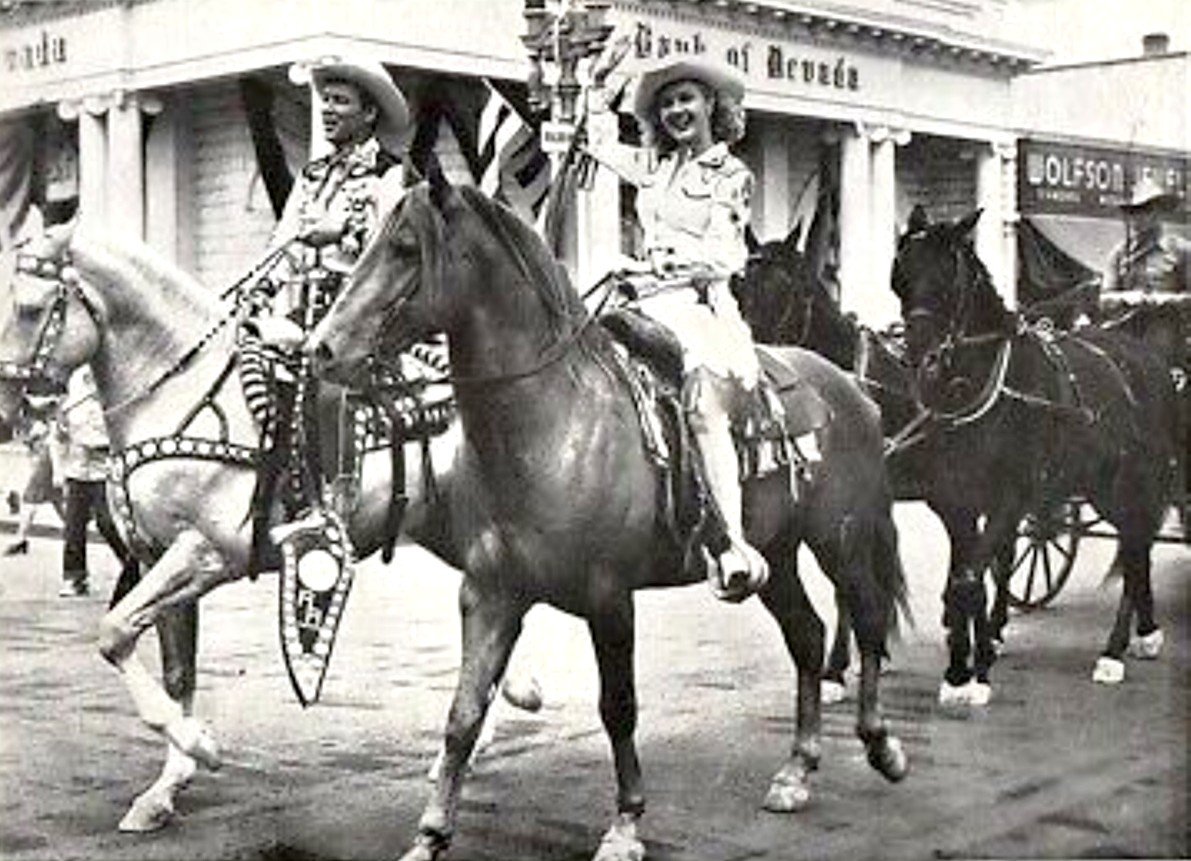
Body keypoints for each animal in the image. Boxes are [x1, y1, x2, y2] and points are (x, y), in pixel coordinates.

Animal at [307, 176, 909, 861]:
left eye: (406, 247)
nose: (321, 348)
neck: (554, 424)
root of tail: (851, 388)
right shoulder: (490, 594)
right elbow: (463, 714)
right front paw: (431, 834)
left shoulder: (609, 598)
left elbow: (618, 706)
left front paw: (625, 824)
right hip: (775, 555)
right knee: (806, 634)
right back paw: (796, 771)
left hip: (844, 539)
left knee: (866, 619)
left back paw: (881, 744)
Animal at [890, 210, 1176, 700]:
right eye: (901, 278)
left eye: (948, 280)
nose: (921, 363)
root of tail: (1147, 355)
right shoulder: (958, 504)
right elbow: (965, 581)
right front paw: (963, 667)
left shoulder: (1009, 499)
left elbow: (969, 581)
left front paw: (977, 673)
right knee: (1135, 548)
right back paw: (1144, 632)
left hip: (1128, 484)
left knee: (1136, 545)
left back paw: (1115, 650)